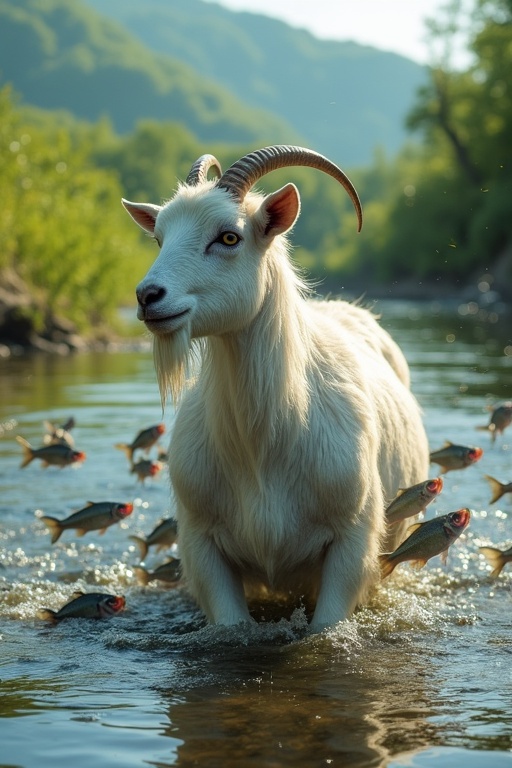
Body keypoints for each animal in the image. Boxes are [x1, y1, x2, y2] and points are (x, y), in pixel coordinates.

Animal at [122, 144, 430, 632]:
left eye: (229, 237)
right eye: (159, 238)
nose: (148, 296)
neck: (264, 443)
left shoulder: (352, 542)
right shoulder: (202, 546)